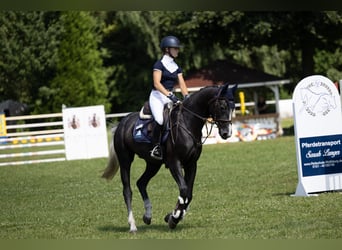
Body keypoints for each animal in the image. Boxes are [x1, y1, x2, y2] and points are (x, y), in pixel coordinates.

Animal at [101, 82, 238, 232]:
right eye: (222, 107)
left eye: (233, 107)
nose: (227, 133)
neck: (187, 123)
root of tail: (122, 123)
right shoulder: (174, 163)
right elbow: (184, 190)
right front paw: (175, 216)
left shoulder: (191, 164)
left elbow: (188, 194)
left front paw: (172, 216)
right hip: (125, 160)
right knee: (127, 190)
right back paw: (132, 225)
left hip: (153, 164)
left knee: (141, 183)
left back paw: (147, 215)